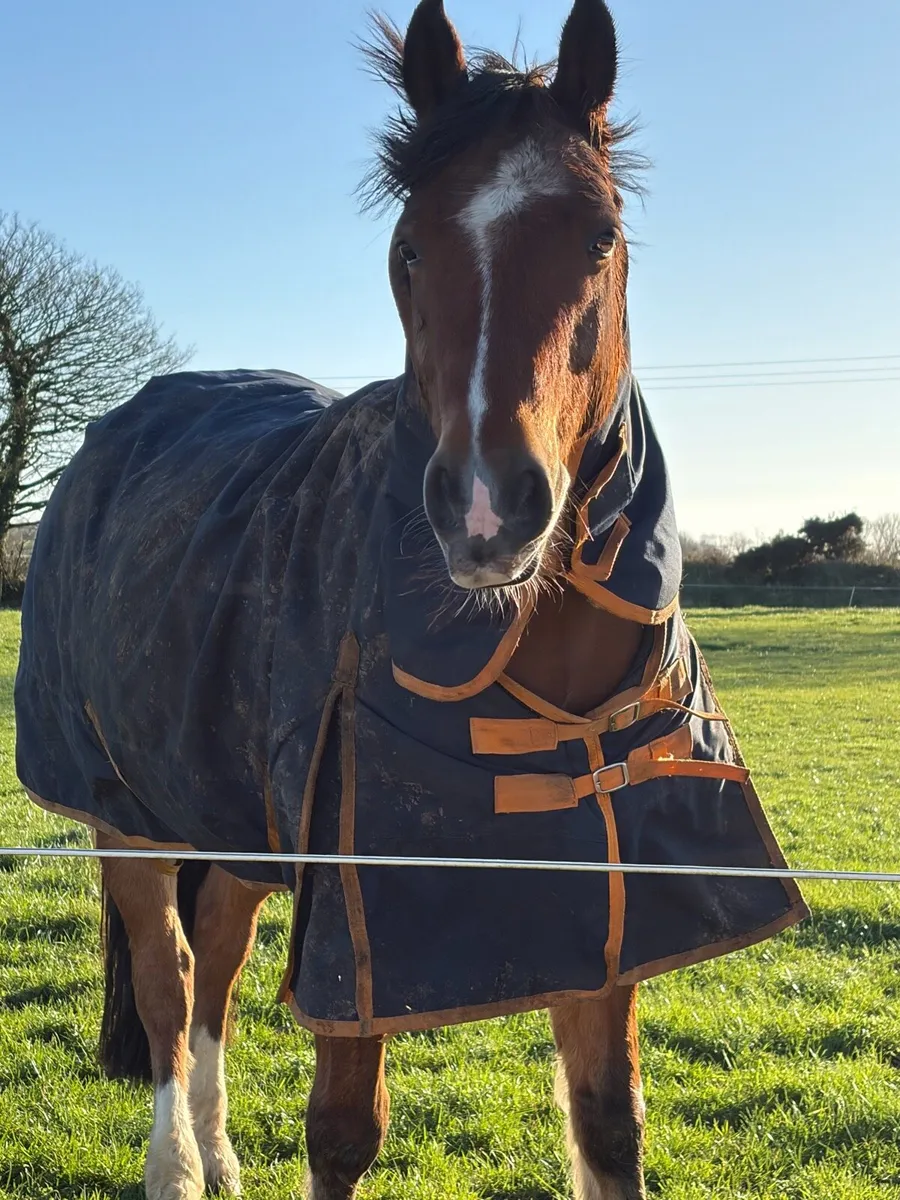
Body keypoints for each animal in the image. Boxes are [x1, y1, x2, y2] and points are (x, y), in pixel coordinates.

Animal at [14, 1, 806, 1198]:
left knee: (218, 972)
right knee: (167, 978)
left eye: (599, 235)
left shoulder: (610, 926)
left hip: (234, 832)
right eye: (409, 245)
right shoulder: (358, 943)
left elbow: (609, 1126)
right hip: (125, 819)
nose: (486, 507)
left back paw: (222, 1157)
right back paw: (177, 1166)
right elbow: (344, 1133)